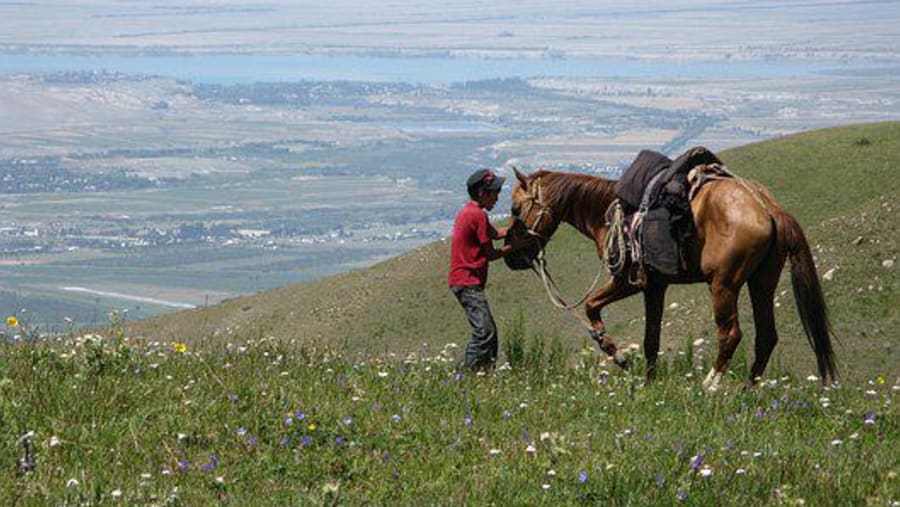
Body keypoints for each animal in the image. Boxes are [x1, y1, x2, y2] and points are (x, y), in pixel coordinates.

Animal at [507, 167, 837, 389]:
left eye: (515, 208)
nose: (512, 257)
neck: (606, 213)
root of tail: (768, 209)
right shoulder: (655, 286)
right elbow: (651, 339)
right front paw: (649, 383)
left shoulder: (627, 282)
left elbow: (591, 306)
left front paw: (618, 355)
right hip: (762, 283)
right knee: (766, 335)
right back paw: (747, 389)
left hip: (724, 285)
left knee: (731, 334)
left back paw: (710, 385)